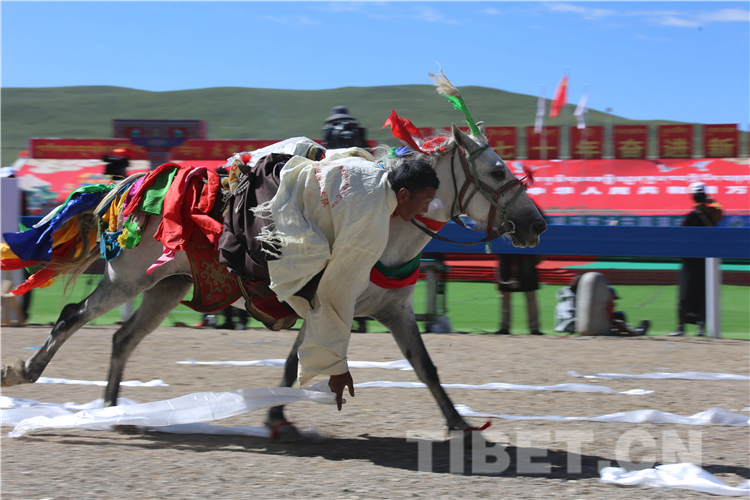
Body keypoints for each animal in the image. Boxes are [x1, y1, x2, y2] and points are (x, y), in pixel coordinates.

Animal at [2, 123, 546, 438]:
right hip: (126, 280)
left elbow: (425, 367)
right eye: (498, 171)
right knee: (72, 318)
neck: (389, 221)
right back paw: (27, 372)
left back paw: (113, 411)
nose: (538, 224)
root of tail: (128, 186)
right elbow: (299, 360)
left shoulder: (391, 311)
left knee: (122, 338)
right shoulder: (324, 300)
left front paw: (458, 423)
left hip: (165, 286)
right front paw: (278, 416)